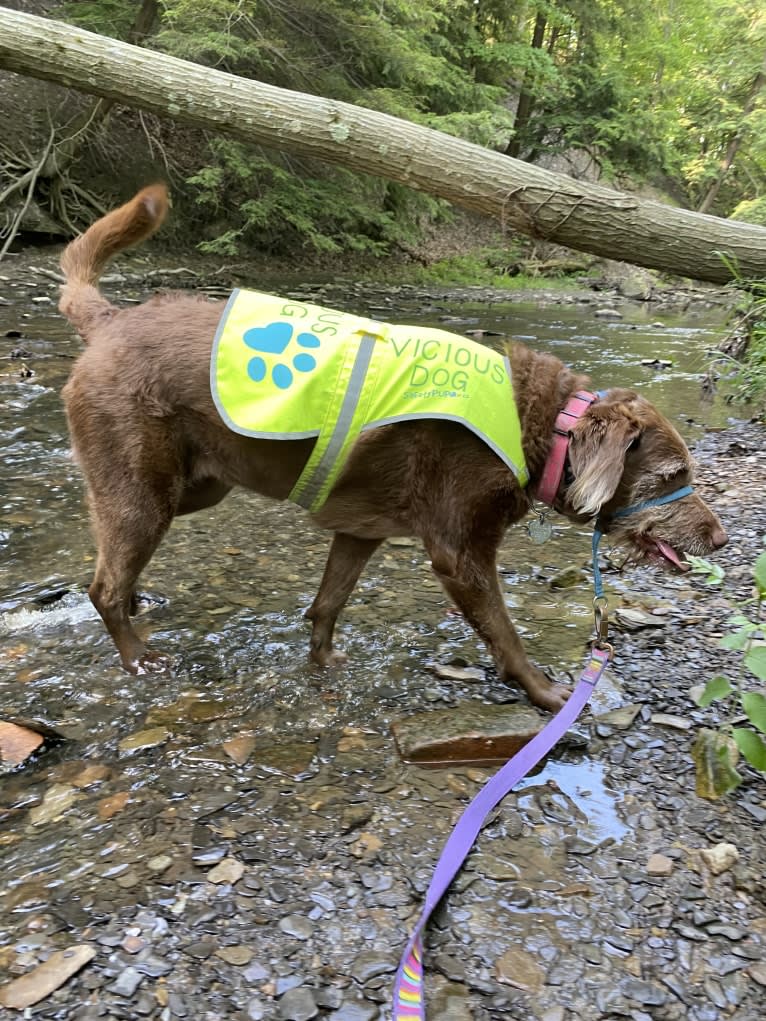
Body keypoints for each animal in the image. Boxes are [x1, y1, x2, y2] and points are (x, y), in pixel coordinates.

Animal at [58, 185, 727, 710]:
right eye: (673, 474)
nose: (721, 539)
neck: (546, 427)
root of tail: (109, 320)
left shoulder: (361, 531)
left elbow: (327, 605)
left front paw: (325, 664)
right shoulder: (460, 553)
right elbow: (504, 632)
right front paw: (544, 692)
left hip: (194, 484)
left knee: (102, 544)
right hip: (148, 488)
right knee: (103, 584)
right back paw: (138, 655)